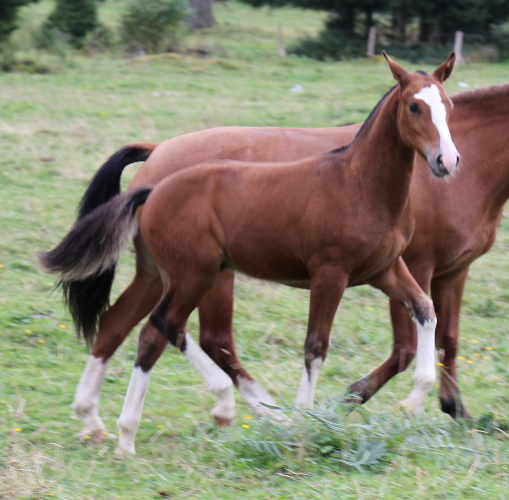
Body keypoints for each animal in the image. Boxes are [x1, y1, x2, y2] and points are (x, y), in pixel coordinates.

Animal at [40, 53, 460, 454]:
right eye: (414, 107)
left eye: (449, 105)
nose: (447, 161)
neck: (359, 184)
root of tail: (153, 189)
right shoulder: (330, 273)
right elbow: (315, 346)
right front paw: (305, 419)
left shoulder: (384, 269)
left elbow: (425, 310)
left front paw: (415, 399)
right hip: (197, 274)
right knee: (163, 327)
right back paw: (183, 418)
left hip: (158, 273)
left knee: (129, 327)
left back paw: (109, 427)